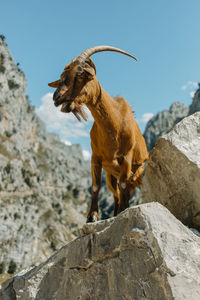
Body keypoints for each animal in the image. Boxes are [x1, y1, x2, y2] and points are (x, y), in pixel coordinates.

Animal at [48, 45, 148, 223]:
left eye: (79, 74)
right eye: (61, 77)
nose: (56, 97)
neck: (114, 125)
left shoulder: (127, 158)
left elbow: (124, 185)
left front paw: (123, 211)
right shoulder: (96, 158)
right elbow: (95, 186)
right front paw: (92, 216)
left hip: (136, 173)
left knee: (125, 190)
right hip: (110, 175)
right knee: (116, 194)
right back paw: (115, 212)